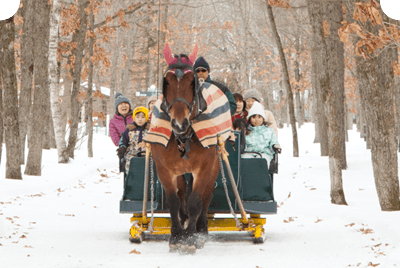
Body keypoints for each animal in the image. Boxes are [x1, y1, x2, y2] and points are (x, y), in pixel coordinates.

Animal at [146, 45, 228, 254]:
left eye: (192, 82)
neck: (183, 137)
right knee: (182, 192)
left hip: (214, 166)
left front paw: (191, 238)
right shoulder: (164, 169)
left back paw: (201, 230)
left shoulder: (204, 168)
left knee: (206, 196)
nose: (179, 123)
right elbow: (174, 201)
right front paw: (176, 236)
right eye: (166, 82)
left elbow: (195, 201)